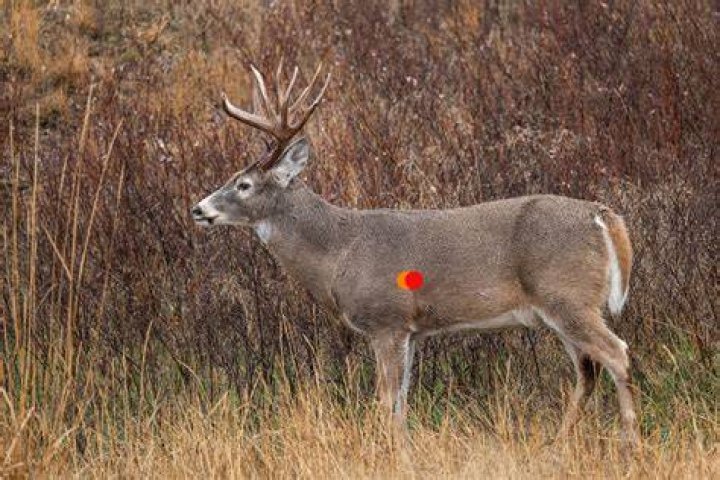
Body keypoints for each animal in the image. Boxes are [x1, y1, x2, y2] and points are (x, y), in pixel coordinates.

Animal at [191, 61, 640, 448]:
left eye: (244, 184)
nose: (198, 209)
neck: (339, 250)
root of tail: (602, 216)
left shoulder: (386, 321)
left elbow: (387, 401)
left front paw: (389, 451)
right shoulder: (413, 330)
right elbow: (402, 402)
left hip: (567, 296)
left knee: (617, 354)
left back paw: (628, 443)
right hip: (559, 308)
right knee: (588, 371)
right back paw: (558, 443)